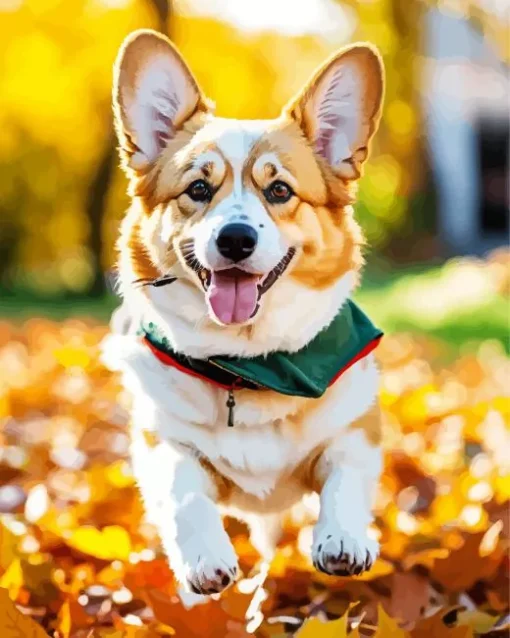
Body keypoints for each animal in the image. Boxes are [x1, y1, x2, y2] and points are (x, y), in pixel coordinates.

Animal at [102, 28, 382, 600]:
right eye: (198, 189)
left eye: (279, 190)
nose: (235, 239)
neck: (250, 365)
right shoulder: (163, 443)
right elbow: (184, 494)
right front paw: (205, 560)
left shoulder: (357, 430)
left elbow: (345, 477)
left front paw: (343, 540)